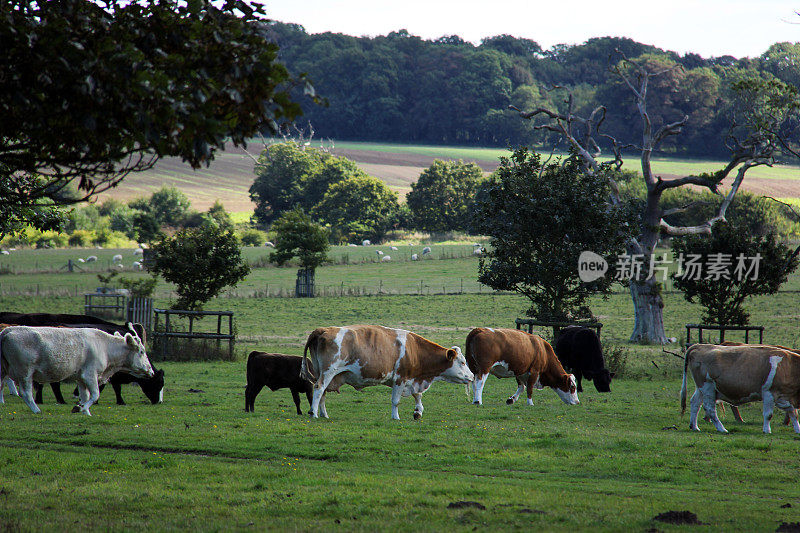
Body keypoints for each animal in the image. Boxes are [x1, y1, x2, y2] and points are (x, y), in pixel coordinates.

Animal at [300, 324, 476, 420]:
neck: (415, 350)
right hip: (329, 371)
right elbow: (396, 401)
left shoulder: (413, 379)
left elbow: (418, 396)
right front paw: (395, 416)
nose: (472, 376)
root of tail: (323, 330)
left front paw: (418, 411)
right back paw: (314, 413)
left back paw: (323, 413)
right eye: (462, 362)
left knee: (322, 393)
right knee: (319, 388)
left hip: (322, 372)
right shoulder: (400, 378)